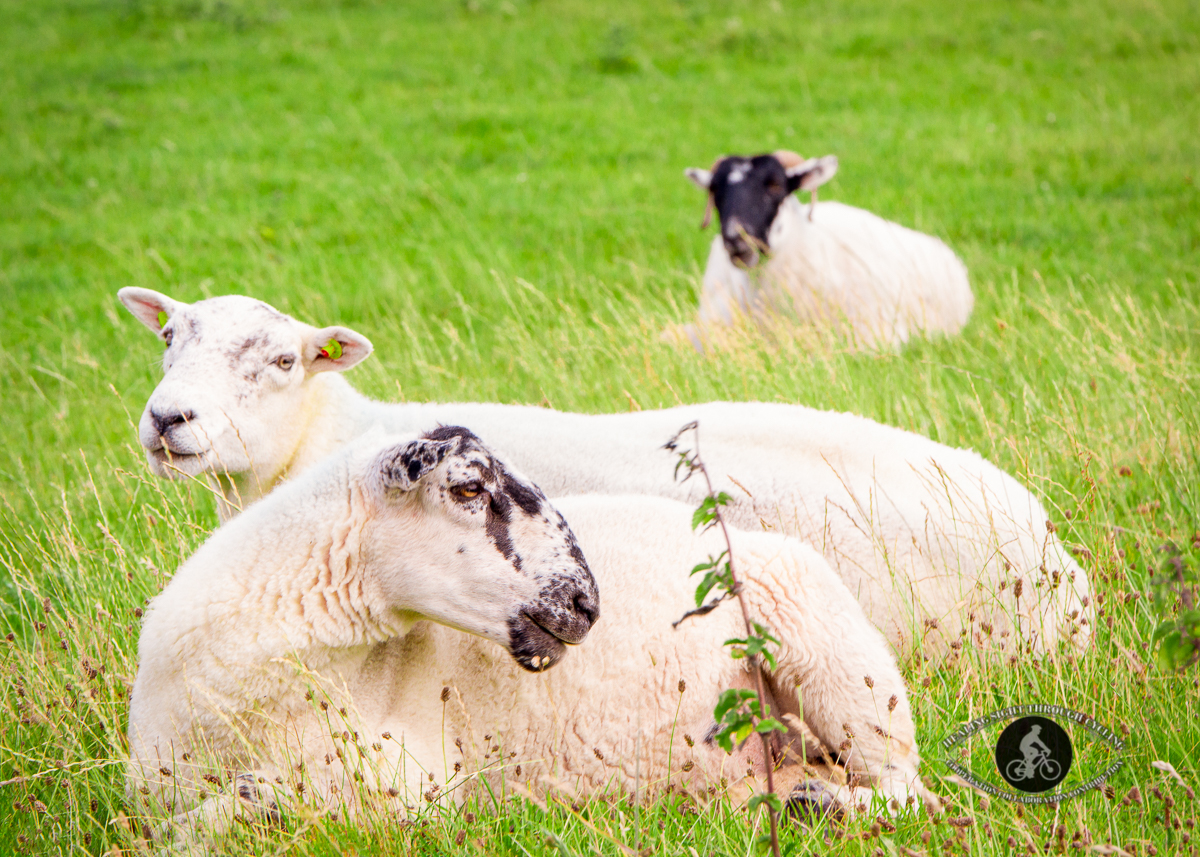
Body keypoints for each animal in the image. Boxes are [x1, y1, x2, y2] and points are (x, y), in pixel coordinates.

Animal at [124, 424, 926, 840]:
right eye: (467, 488)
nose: (585, 603)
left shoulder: (405, 780)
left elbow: (237, 810)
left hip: (837, 657)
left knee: (908, 789)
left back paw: (821, 808)